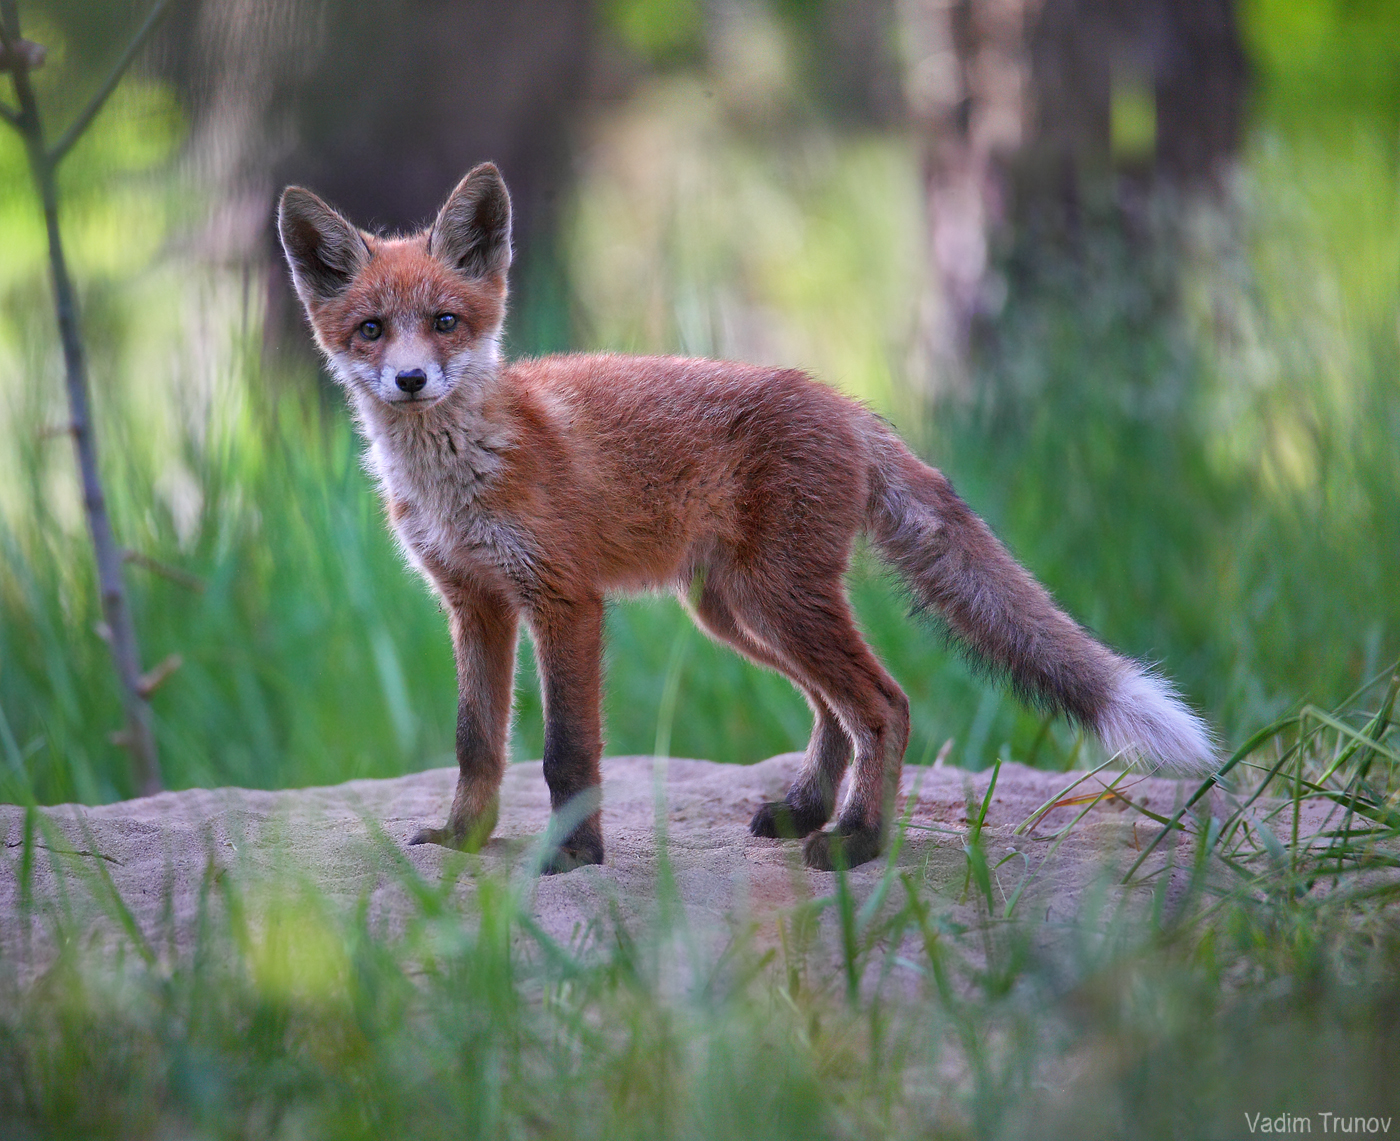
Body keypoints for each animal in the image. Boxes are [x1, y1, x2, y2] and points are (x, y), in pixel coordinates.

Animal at [277, 162, 1217, 873]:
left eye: (445, 322)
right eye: (370, 329)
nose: (410, 380)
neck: (460, 471)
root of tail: (847, 405)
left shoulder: (565, 601)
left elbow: (567, 752)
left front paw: (574, 854)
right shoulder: (474, 604)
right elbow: (476, 741)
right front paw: (464, 839)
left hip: (777, 599)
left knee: (885, 704)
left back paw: (856, 841)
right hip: (734, 609)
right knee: (835, 713)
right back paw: (808, 808)